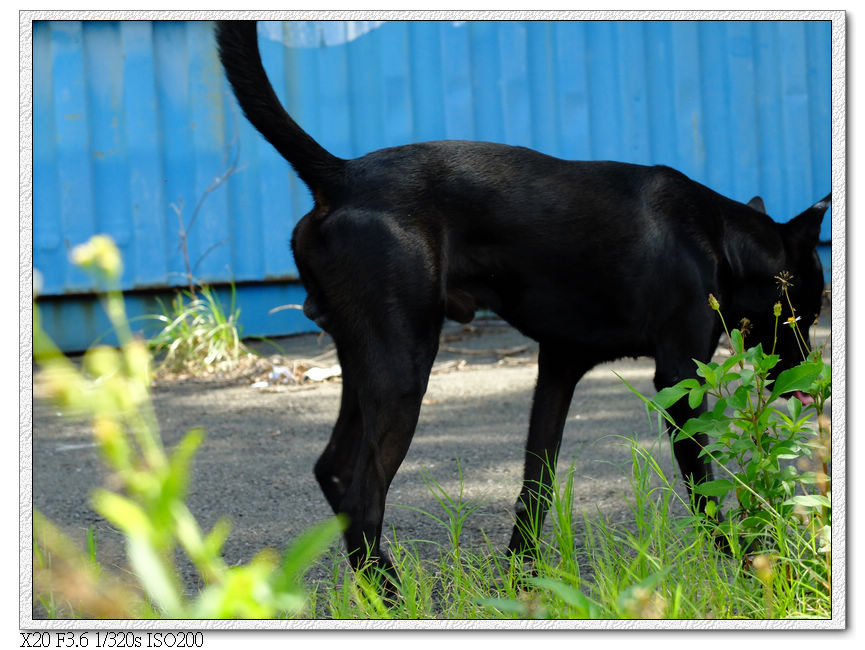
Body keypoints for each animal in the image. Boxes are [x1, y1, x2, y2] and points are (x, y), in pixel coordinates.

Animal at [216, 19, 832, 576]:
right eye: (807, 312)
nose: (813, 379)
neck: (719, 239)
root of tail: (340, 176)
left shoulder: (557, 368)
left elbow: (536, 485)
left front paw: (521, 581)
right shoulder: (678, 376)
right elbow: (704, 492)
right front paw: (751, 568)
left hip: (365, 359)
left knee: (335, 470)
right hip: (402, 369)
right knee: (364, 498)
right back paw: (392, 598)